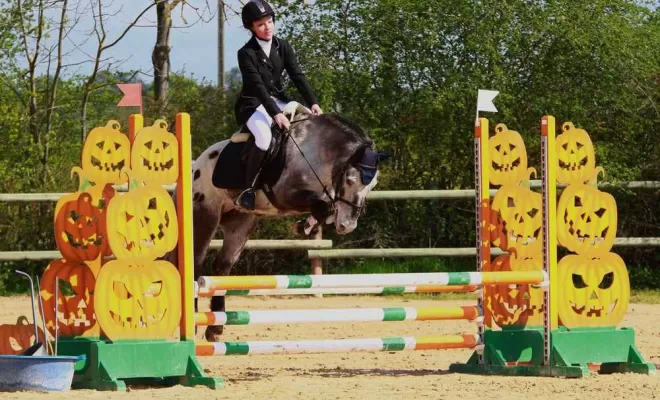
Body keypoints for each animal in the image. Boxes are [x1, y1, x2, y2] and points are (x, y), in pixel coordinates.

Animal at [187, 105, 386, 340]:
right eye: (350, 180)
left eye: (373, 185)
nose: (348, 226)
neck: (317, 152)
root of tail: (196, 165)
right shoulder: (283, 195)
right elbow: (324, 206)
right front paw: (305, 225)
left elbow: (326, 207)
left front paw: (307, 225)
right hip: (205, 215)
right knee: (196, 263)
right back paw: (195, 324)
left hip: (241, 222)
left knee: (222, 266)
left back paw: (215, 329)